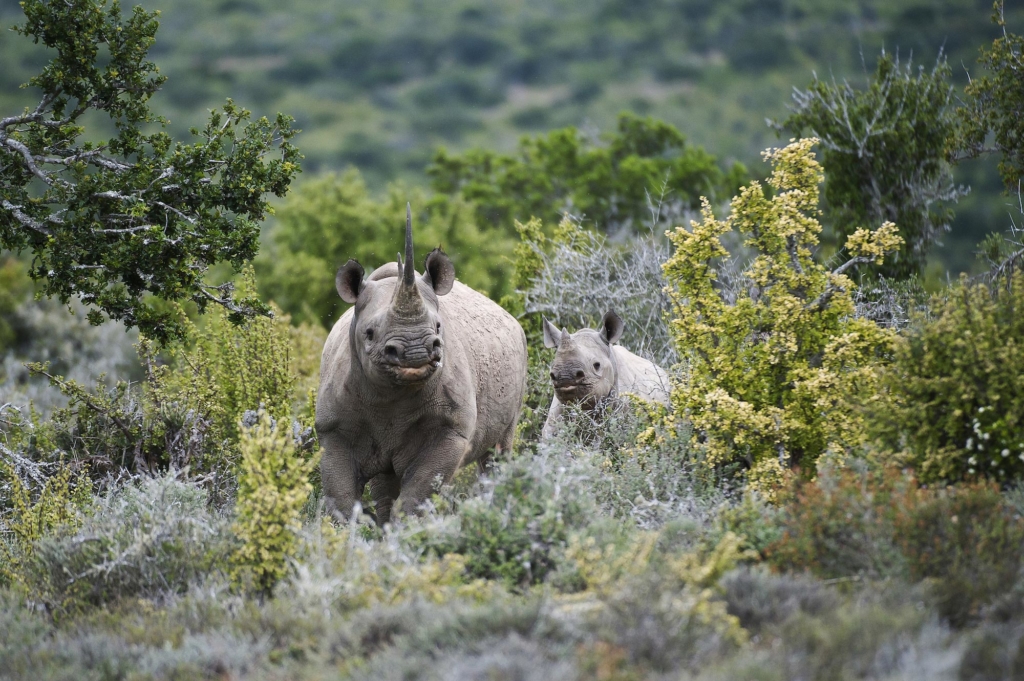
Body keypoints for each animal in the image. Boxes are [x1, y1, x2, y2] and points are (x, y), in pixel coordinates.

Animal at [316, 205, 528, 524]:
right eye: (369, 333)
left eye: (439, 327)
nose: (416, 351)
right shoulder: (333, 429)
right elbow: (341, 499)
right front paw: (347, 534)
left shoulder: (451, 429)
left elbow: (417, 496)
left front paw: (407, 532)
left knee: (498, 451)